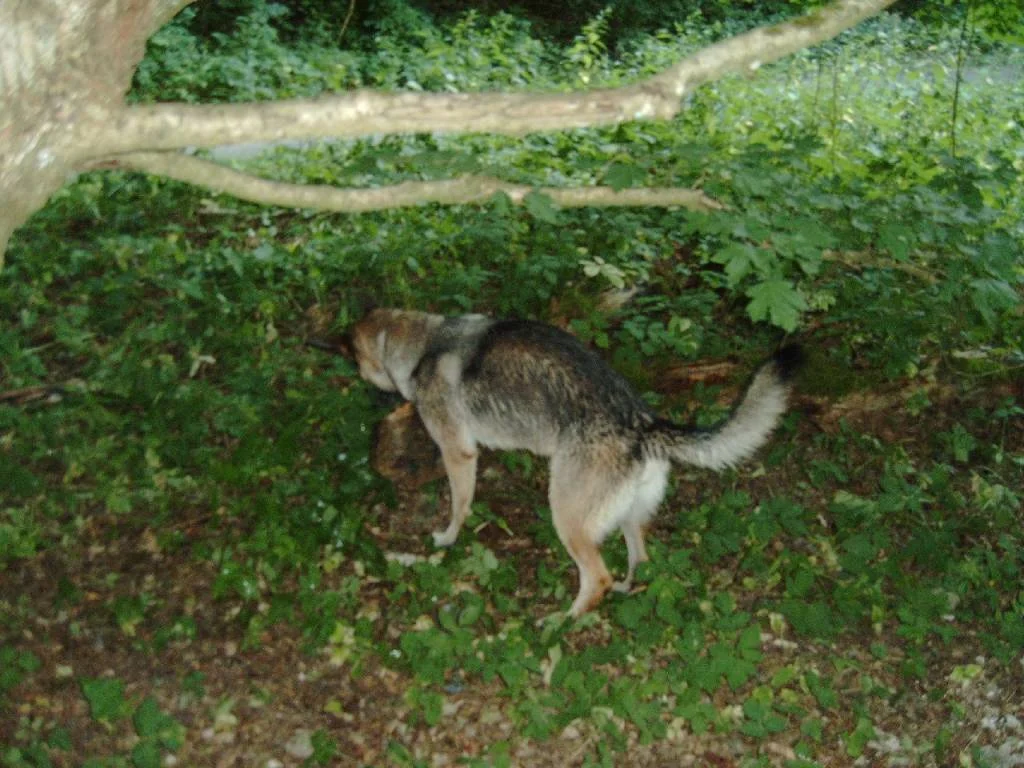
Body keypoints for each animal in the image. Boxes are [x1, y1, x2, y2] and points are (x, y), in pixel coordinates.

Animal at [352, 309, 798, 618]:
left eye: (355, 356)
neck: (426, 342)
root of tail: (642, 424)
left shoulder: (458, 453)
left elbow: (458, 507)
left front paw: (446, 539)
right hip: (627, 518)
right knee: (638, 561)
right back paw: (624, 591)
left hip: (566, 518)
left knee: (597, 577)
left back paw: (563, 621)